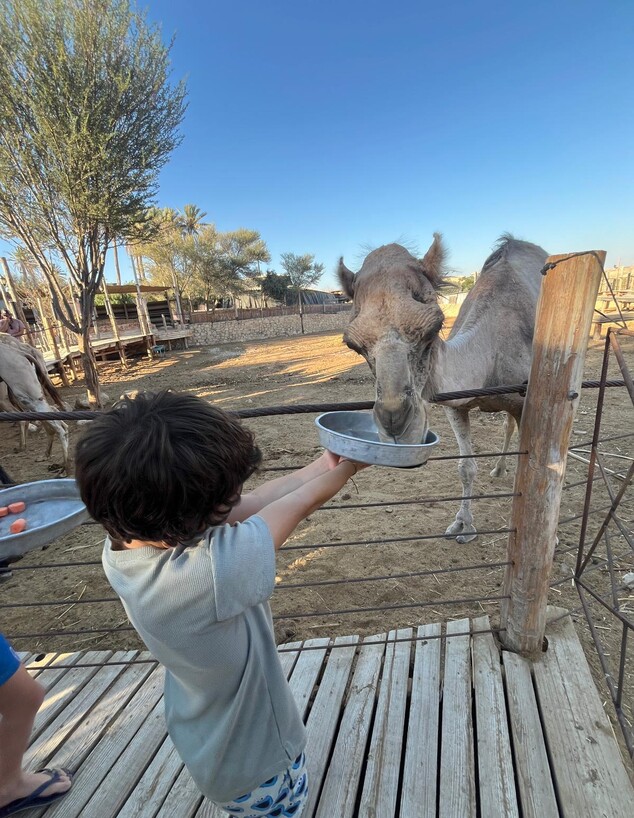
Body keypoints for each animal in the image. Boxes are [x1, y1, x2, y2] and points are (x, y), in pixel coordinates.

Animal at [338, 233, 544, 540]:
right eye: (353, 345)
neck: (490, 356)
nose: (397, 426)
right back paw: (498, 469)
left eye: (434, 328)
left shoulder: (525, 400)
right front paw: (463, 524)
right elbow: (466, 467)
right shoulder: (456, 405)